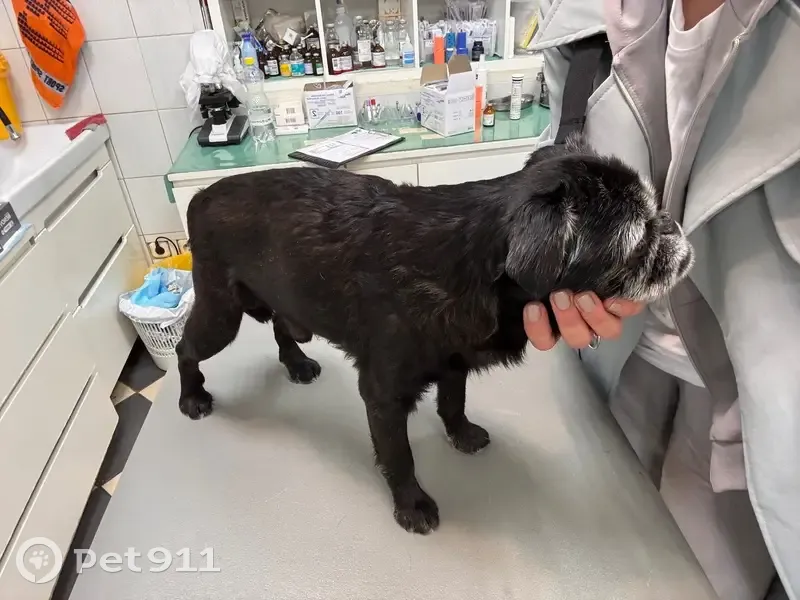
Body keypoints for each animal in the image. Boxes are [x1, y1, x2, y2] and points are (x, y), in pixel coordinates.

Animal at [176, 135, 694, 534]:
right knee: (186, 349)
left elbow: (453, 401)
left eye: (656, 213)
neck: (476, 263)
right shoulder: (383, 396)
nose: (670, 224)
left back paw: (296, 363)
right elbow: (399, 455)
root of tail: (199, 197)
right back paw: (191, 397)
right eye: (637, 240)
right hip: (221, 315)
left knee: (284, 325)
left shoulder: (453, 361)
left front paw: (459, 433)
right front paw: (411, 504)